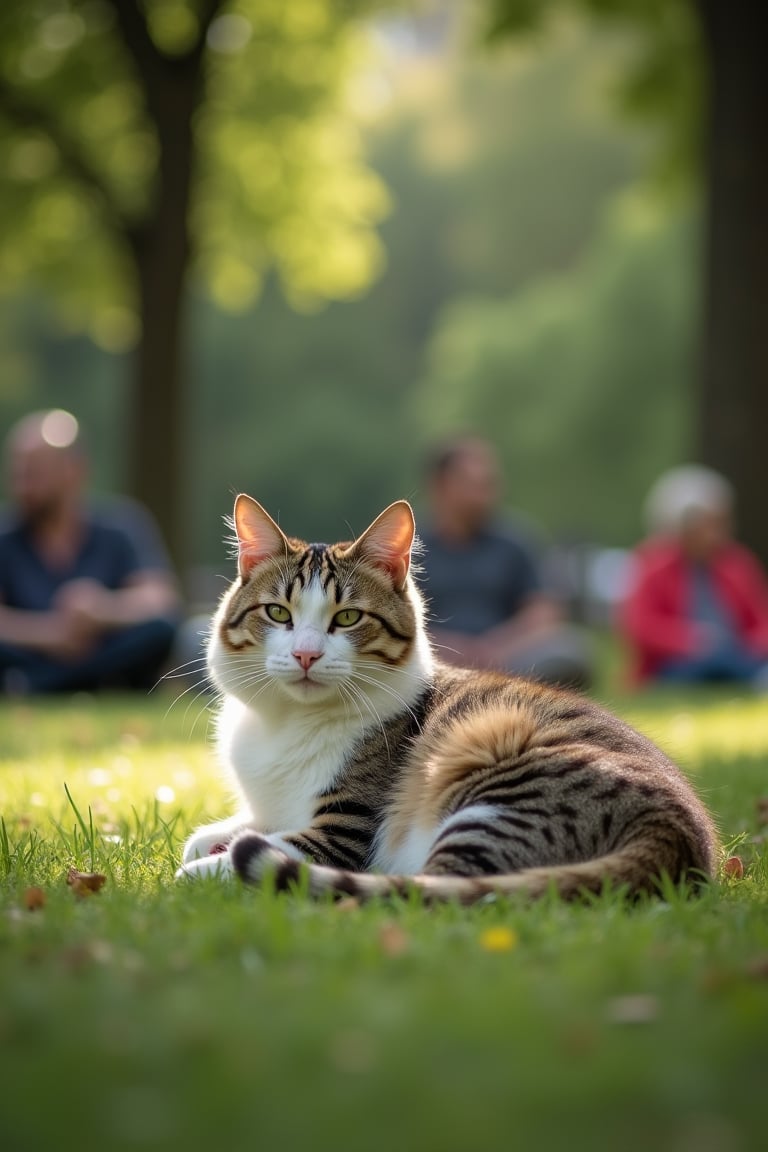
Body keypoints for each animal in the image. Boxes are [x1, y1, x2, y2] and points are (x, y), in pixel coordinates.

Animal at [177, 495, 718, 898]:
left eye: (347, 618)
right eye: (278, 613)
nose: (306, 654)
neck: (286, 721)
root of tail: (679, 833)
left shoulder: (342, 832)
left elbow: (244, 854)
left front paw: (204, 870)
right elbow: (210, 836)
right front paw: (213, 840)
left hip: (492, 769)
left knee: (432, 891)